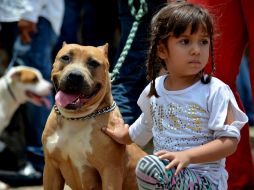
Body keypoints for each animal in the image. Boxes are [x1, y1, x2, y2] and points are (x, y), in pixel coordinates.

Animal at [42, 43, 147, 189]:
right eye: (65, 57)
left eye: (93, 63)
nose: (75, 75)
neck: (75, 118)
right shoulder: (51, 168)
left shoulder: (110, 170)